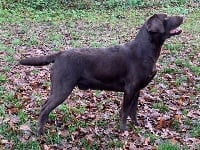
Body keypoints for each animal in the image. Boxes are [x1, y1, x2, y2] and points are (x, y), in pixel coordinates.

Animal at [19, 13, 183, 134]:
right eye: (166, 18)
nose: (182, 16)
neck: (146, 50)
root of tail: (59, 54)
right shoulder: (130, 88)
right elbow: (124, 111)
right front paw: (123, 131)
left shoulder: (137, 90)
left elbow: (133, 111)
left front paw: (136, 126)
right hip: (63, 88)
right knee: (45, 109)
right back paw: (40, 132)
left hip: (58, 88)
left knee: (44, 106)